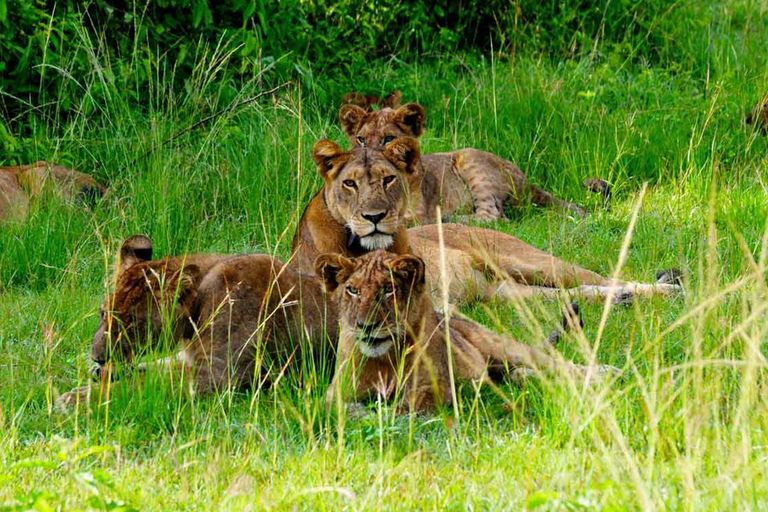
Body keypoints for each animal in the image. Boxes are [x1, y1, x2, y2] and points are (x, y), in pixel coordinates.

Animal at [292, 136, 680, 306]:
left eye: (389, 179)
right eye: (350, 183)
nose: (375, 217)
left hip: (529, 261)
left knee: (603, 279)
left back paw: (666, 290)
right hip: (507, 293)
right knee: (573, 293)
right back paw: (623, 298)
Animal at [316, 250, 616, 414]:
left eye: (388, 290)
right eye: (352, 290)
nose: (365, 326)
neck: (383, 359)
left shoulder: (435, 388)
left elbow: (405, 408)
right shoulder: (337, 391)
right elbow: (337, 407)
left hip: (504, 346)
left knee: (557, 363)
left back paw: (607, 372)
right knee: (520, 374)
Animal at [340, 100, 584, 222]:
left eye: (389, 139)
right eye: (361, 140)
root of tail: (528, 180)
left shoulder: (417, 214)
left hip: (469, 158)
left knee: (494, 216)